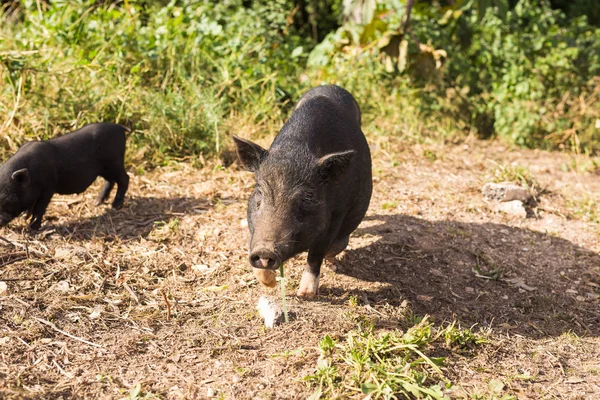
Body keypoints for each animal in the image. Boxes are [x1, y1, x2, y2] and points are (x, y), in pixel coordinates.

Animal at [0, 122, 130, 230]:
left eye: (9, 199)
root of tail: (119, 127)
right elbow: (31, 204)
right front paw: (24, 217)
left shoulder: (49, 186)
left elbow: (40, 207)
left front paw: (32, 228)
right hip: (106, 169)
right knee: (111, 180)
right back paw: (97, 202)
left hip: (115, 162)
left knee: (125, 178)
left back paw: (115, 206)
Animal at [233, 84, 370, 296]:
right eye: (260, 192)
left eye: (307, 197)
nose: (265, 250)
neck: (296, 150)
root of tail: (330, 85)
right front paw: (269, 285)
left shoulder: (336, 215)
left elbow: (317, 253)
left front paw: (305, 294)